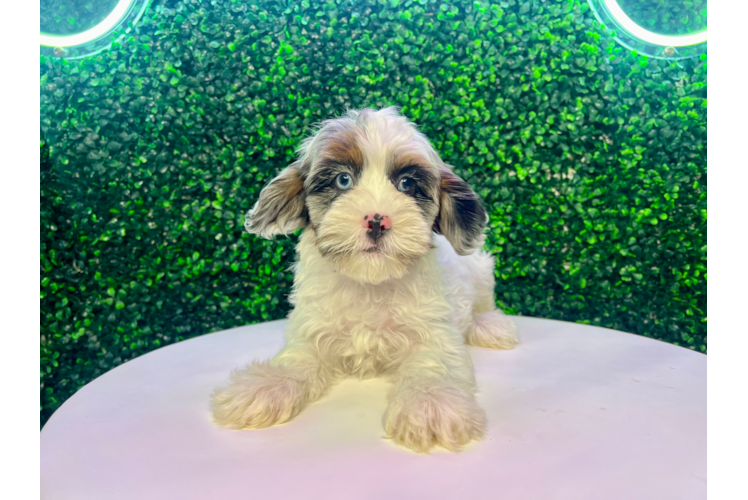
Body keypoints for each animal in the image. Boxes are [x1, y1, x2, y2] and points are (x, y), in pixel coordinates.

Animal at [209, 106, 516, 454]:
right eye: (343, 180)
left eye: (407, 184)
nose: (377, 221)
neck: (369, 282)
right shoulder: (313, 327)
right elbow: (297, 357)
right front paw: (264, 385)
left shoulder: (435, 328)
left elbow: (434, 361)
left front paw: (431, 404)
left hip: (480, 268)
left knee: (483, 303)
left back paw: (491, 326)